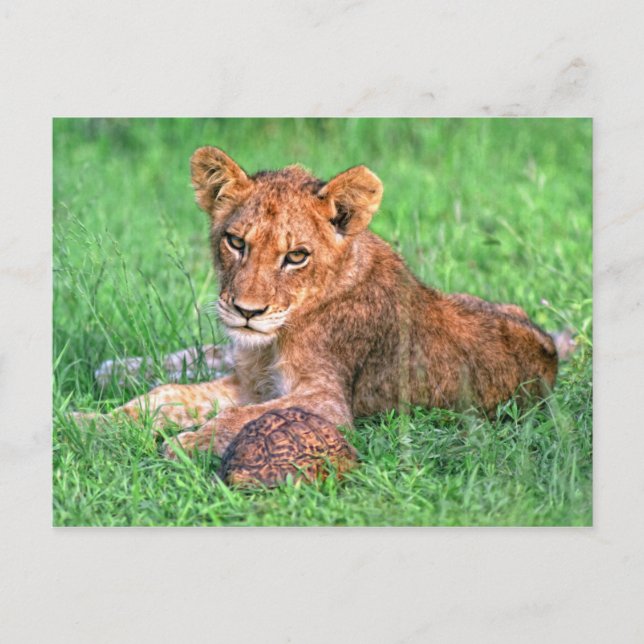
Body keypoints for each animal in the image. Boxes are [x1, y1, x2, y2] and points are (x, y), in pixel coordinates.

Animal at [85, 146, 560, 461]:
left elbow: (237, 418)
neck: (274, 340)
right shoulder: (250, 383)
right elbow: (167, 395)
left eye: (296, 256)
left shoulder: (329, 402)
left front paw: (184, 445)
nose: (246, 312)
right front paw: (92, 424)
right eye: (236, 242)